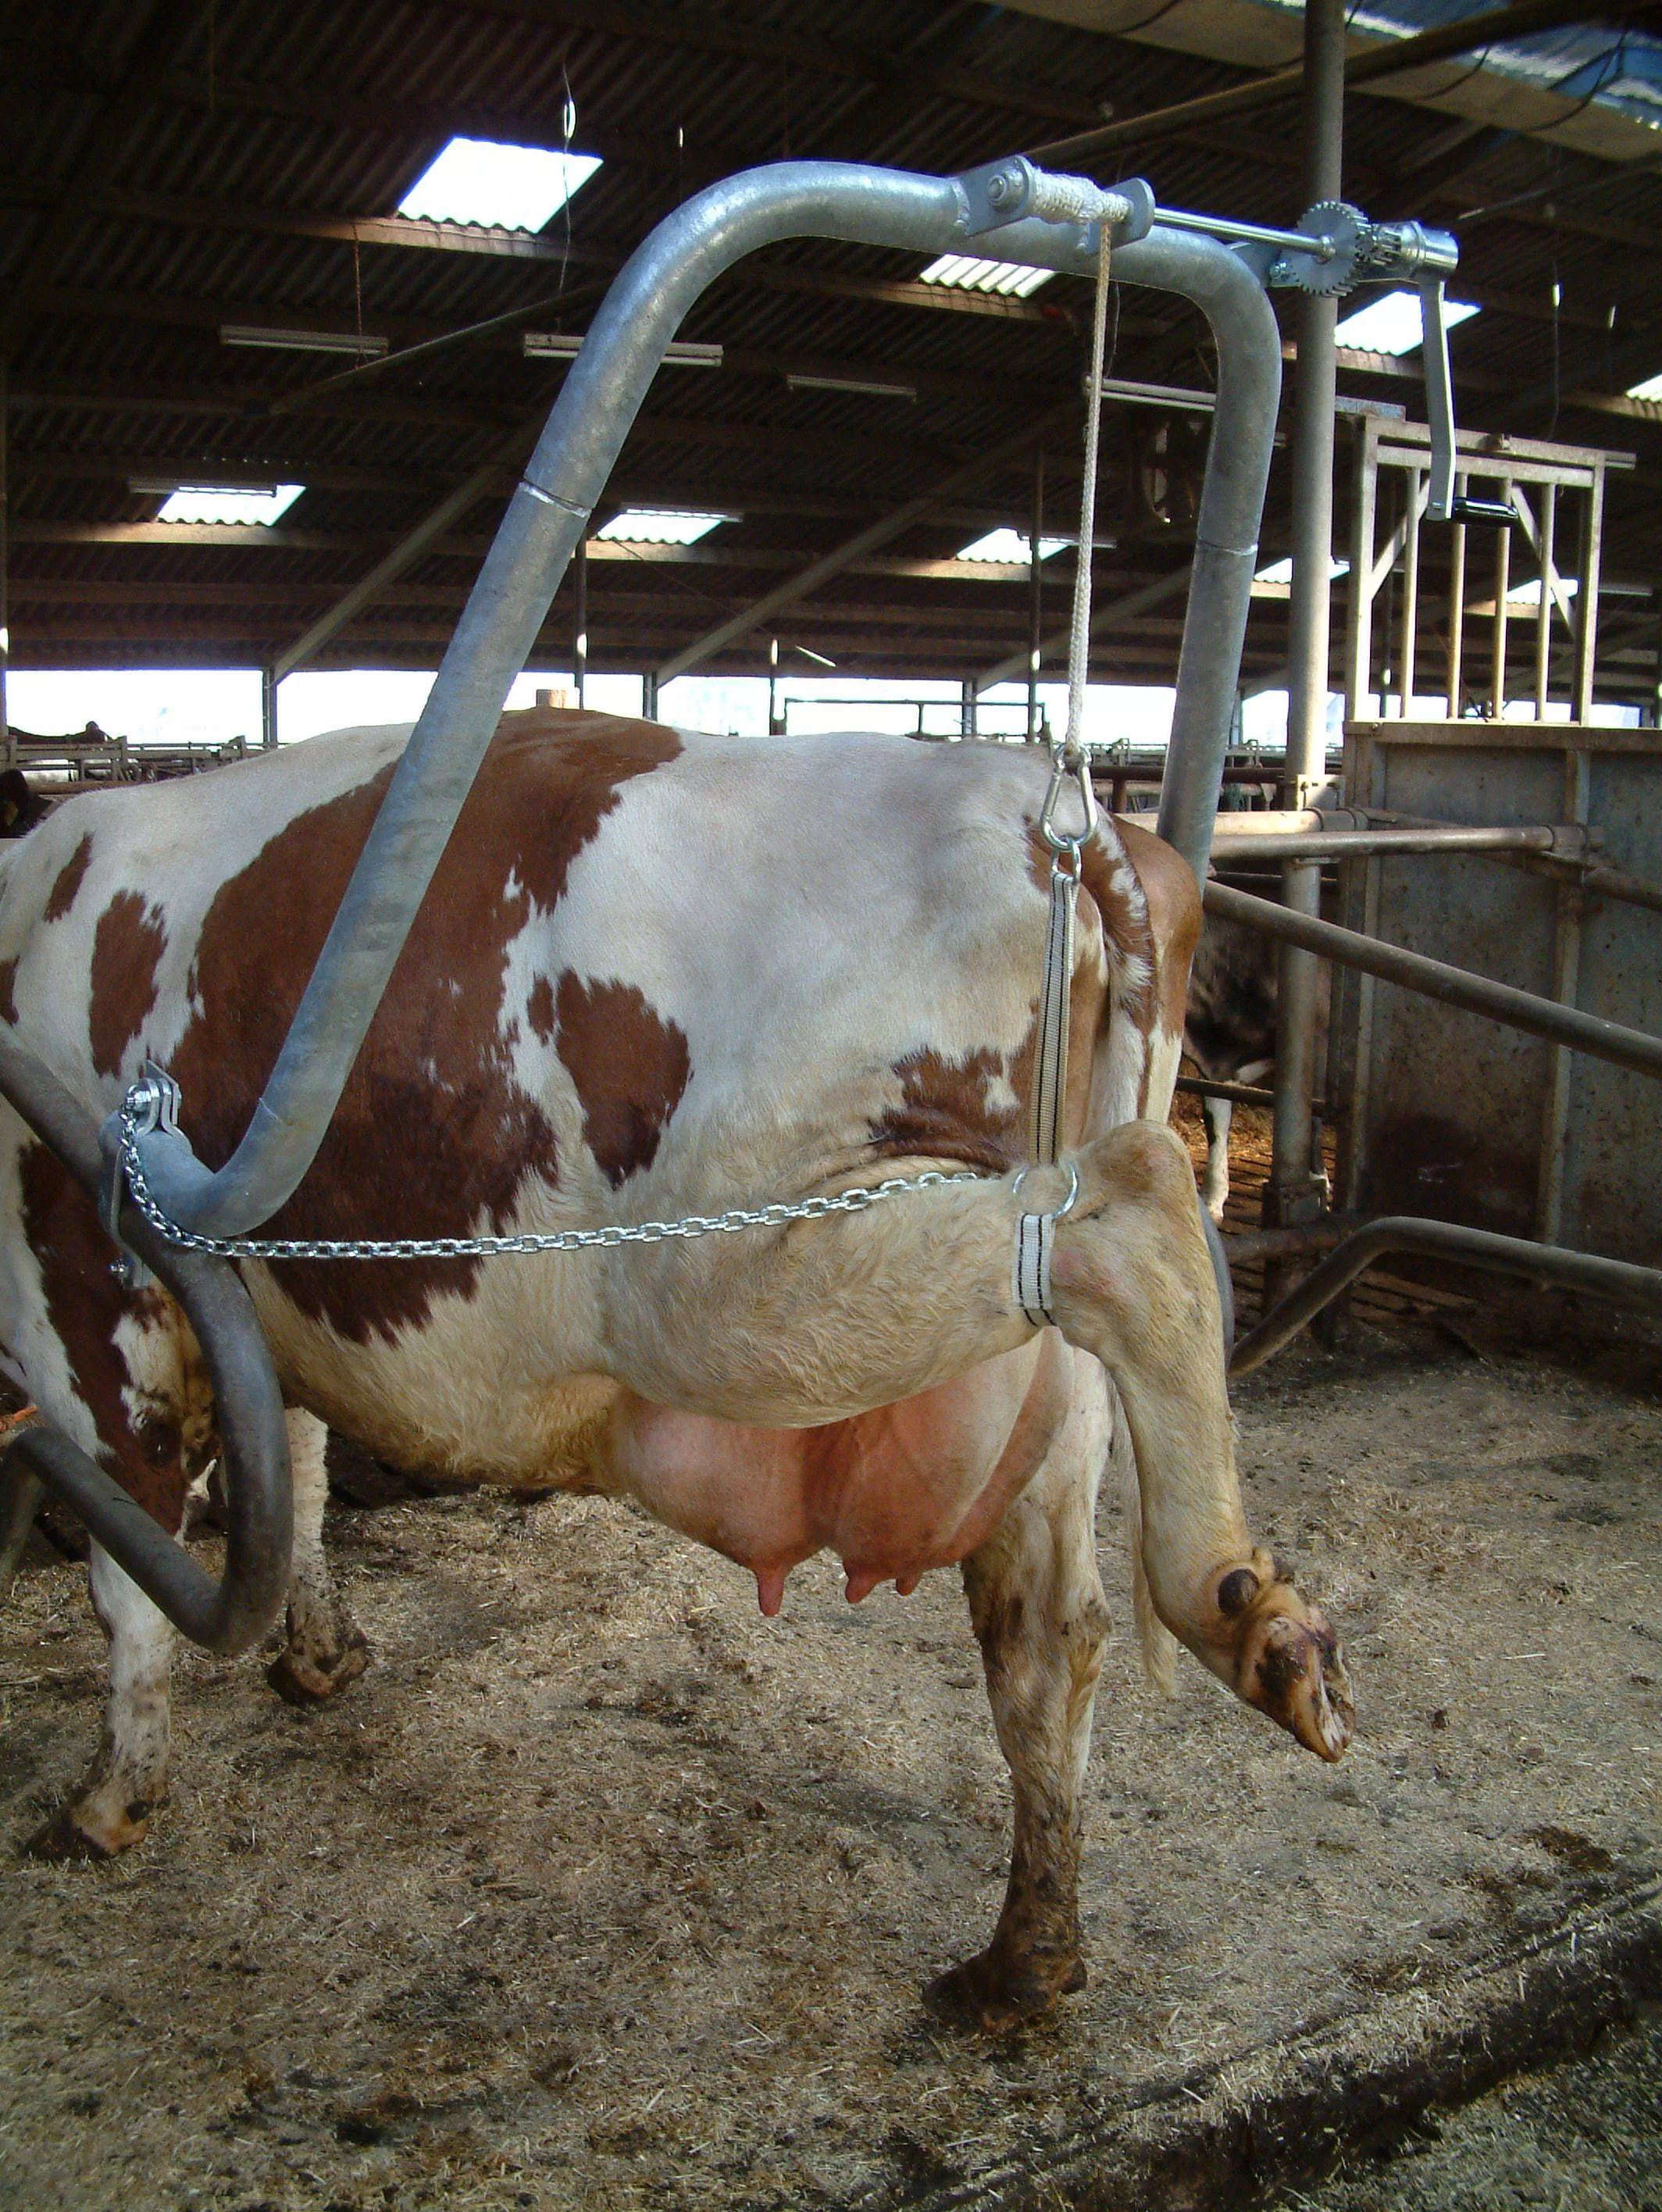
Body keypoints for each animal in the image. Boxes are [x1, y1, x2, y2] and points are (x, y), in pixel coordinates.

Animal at [0, 707, 1351, 2030]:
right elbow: (304, 1467)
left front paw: (107, 1797)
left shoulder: (81, 1280)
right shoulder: (268, 1306)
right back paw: (1025, 1960)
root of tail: (1051, 804)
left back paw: (1235, 1603)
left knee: (1138, 1227)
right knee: (1050, 1643)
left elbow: (128, 1556)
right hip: (1023, 1385)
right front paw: (319, 1655)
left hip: (724, 1279)